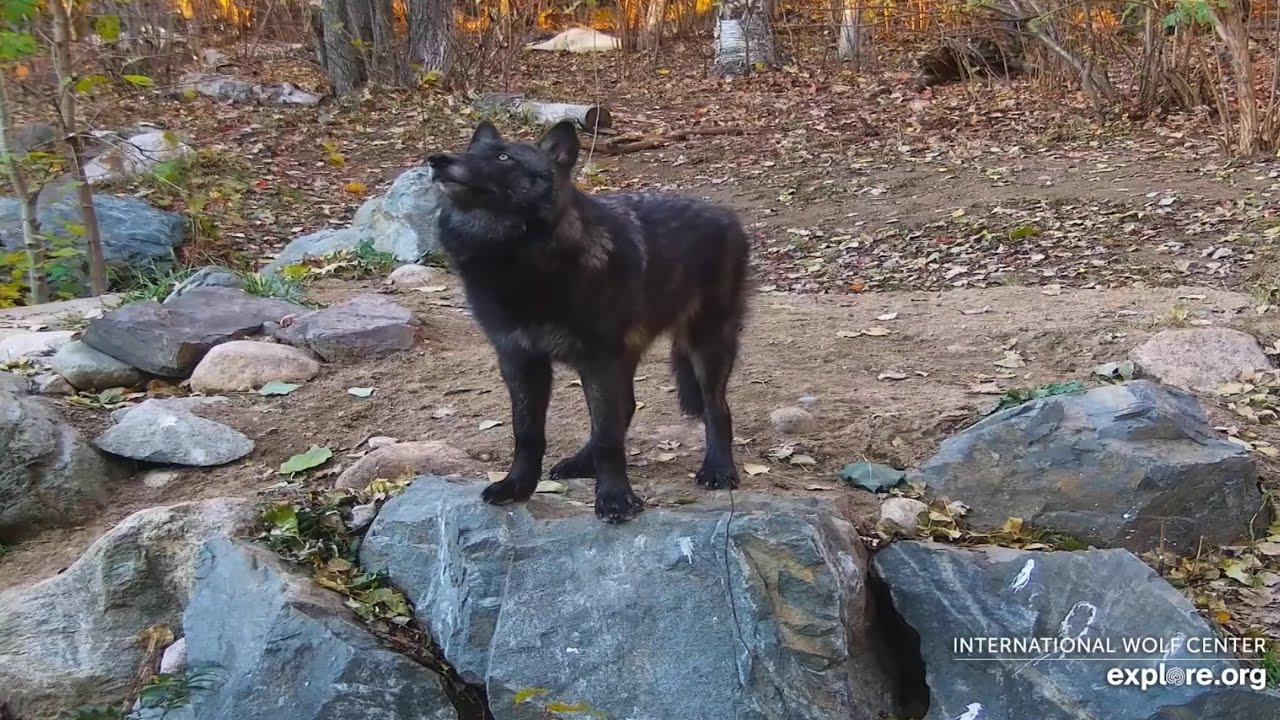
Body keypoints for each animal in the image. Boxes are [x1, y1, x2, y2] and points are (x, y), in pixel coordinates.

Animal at [425, 120, 751, 523]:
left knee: (716, 409)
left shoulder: (599, 361)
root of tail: (726, 214)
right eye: (468, 150)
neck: (521, 263)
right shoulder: (519, 360)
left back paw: (718, 469)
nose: (437, 160)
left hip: (706, 345)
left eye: (503, 157)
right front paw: (517, 486)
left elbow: (609, 438)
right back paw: (582, 462)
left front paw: (614, 498)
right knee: (626, 407)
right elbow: (527, 432)